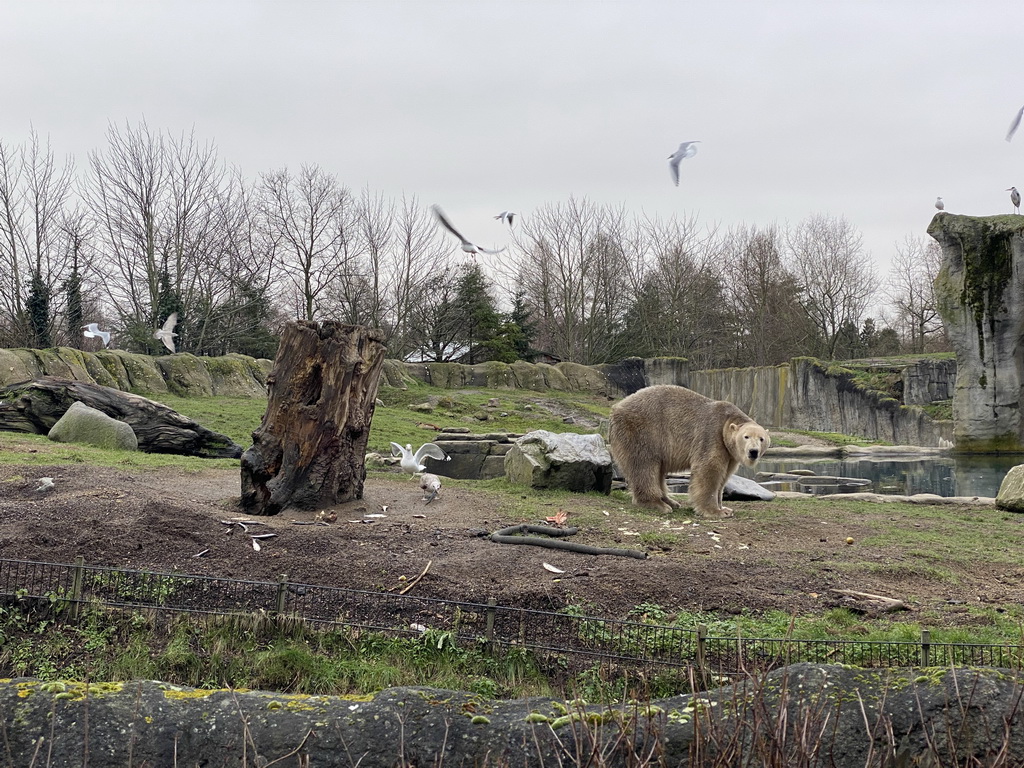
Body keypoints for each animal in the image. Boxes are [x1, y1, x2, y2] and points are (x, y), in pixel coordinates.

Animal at [606, 385, 770, 518]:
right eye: (746, 436)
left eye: (761, 439)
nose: (753, 451)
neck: (727, 421)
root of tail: (616, 409)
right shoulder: (711, 435)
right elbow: (709, 469)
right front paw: (715, 511)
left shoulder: (729, 453)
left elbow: (724, 476)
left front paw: (725, 508)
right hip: (642, 431)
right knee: (644, 465)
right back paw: (658, 504)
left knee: (658, 469)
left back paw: (671, 501)